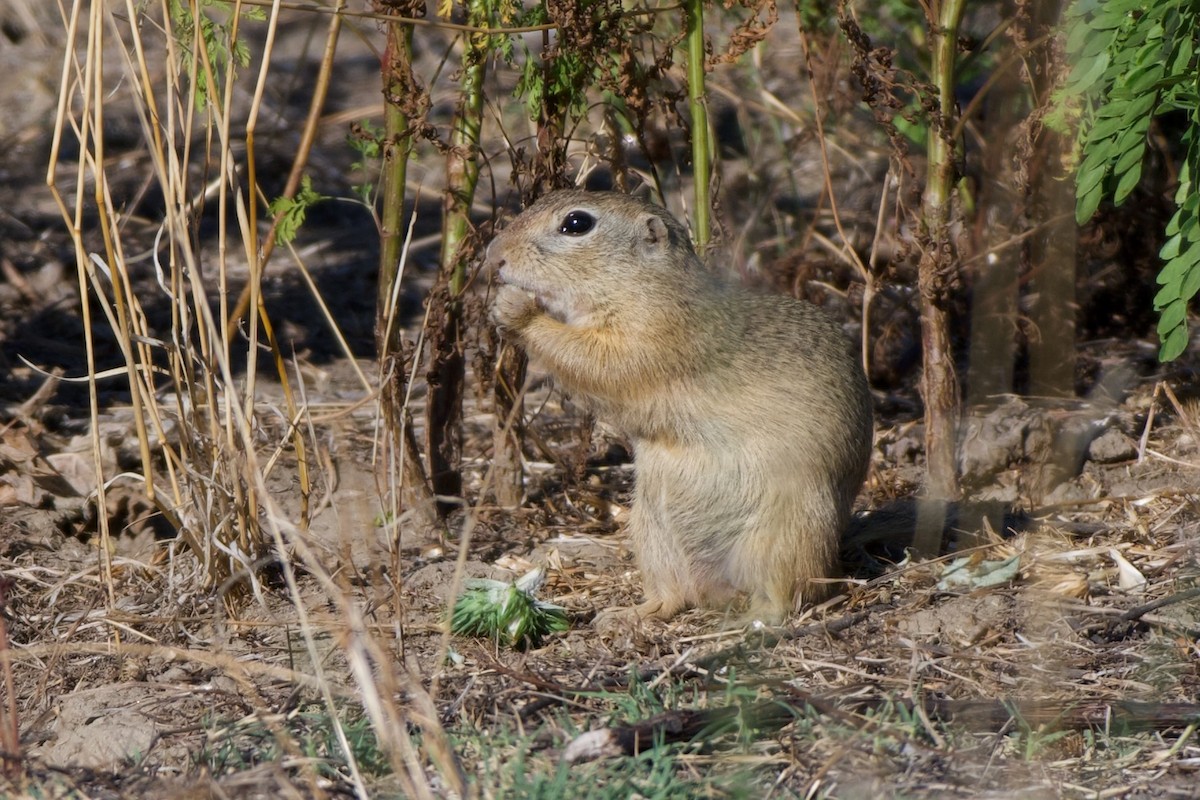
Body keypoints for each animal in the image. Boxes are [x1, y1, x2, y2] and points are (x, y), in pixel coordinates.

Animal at [486, 190, 873, 624]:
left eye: (576, 224)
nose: (492, 255)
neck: (646, 286)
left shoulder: (647, 343)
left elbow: (593, 362)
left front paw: (517, 307)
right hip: (653, 537)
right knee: (675, 596)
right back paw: (630, 614)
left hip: (783, 539)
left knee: (792, 594)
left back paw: (754, 621)